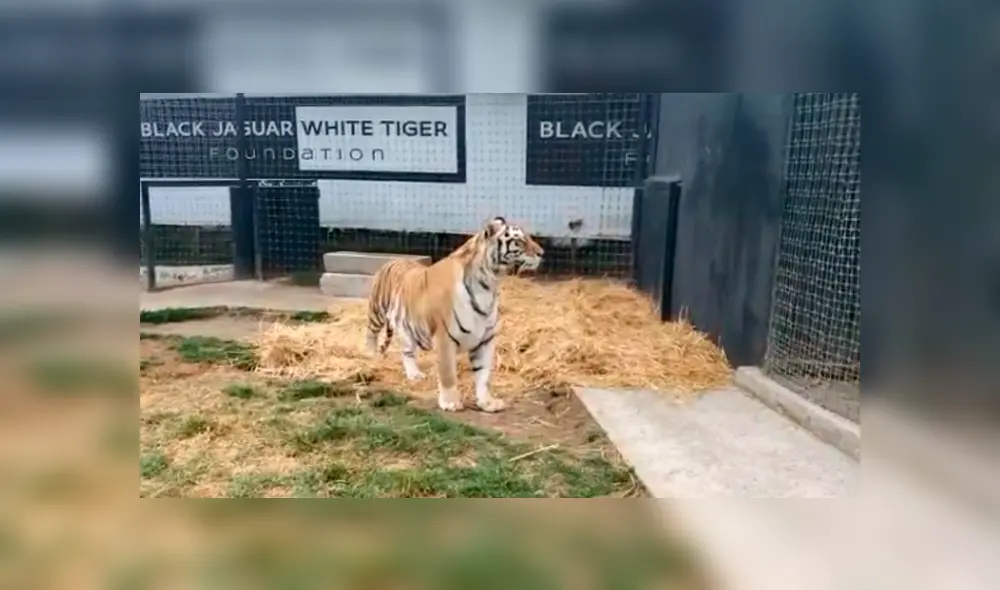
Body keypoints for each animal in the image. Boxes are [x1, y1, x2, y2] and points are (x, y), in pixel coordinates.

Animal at [365, 216, 544, 412]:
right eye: (519, 241)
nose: (542, 253)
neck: (489, 285)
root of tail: (391, 261)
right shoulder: (445, 338)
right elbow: (448, 374)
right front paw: (450, 403)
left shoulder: (485, 340)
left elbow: (484, 376)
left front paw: (487, 403)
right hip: (377, 311)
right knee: (371, 333)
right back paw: (371, 356)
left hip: (407, 328)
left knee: (407, 352)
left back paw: (414, 374)